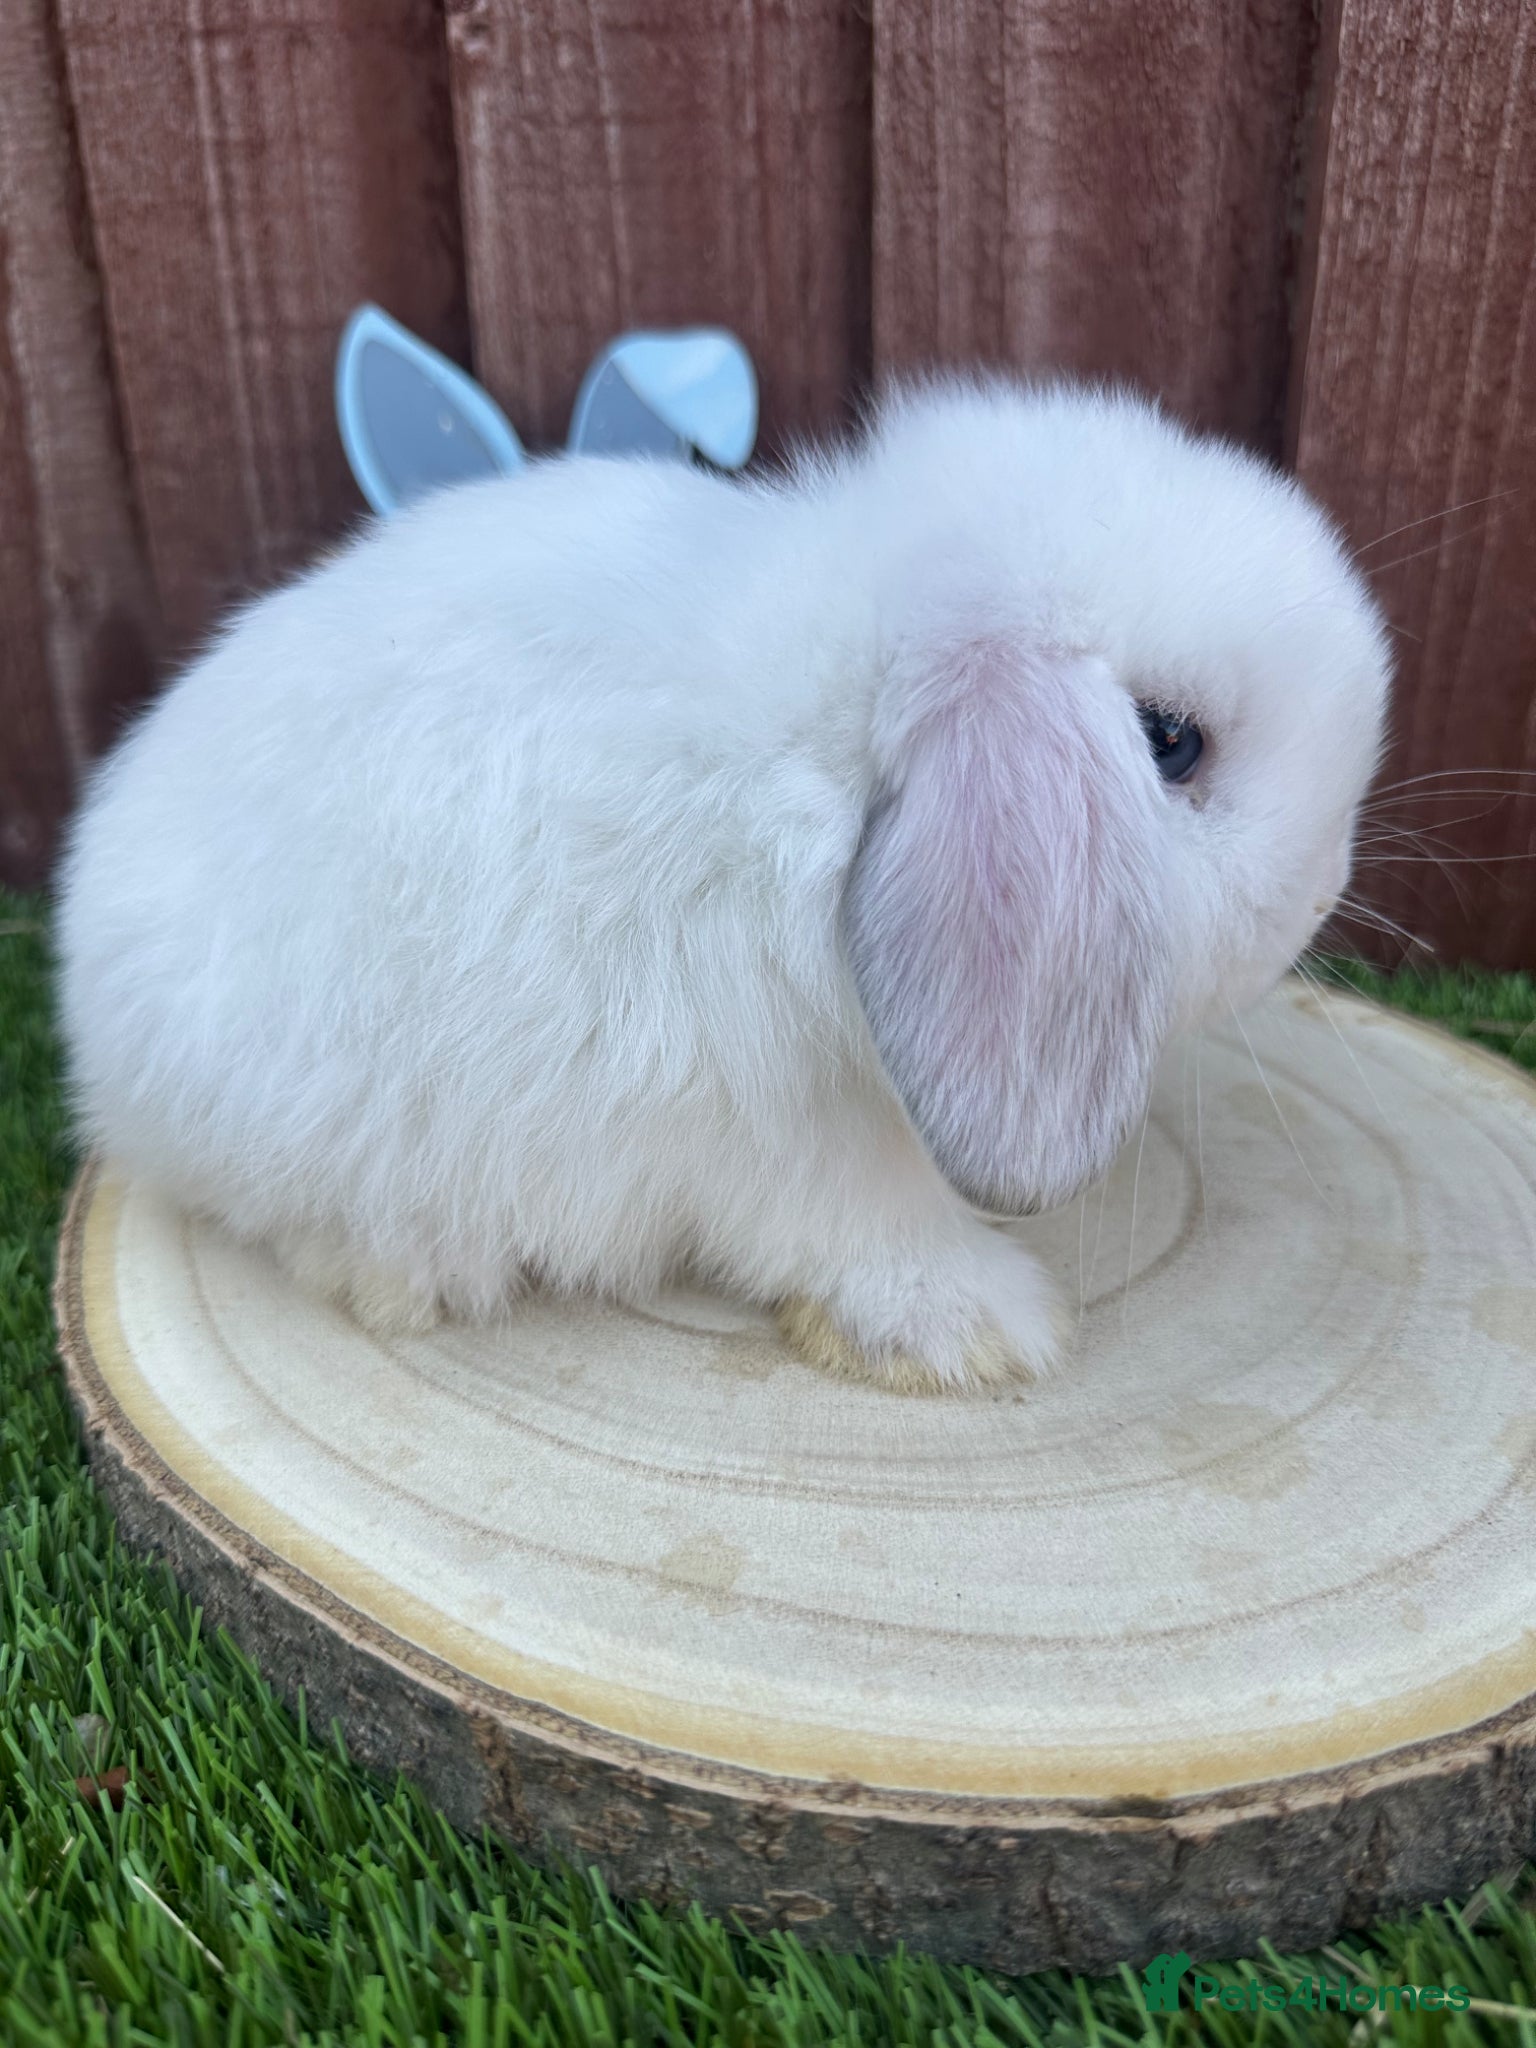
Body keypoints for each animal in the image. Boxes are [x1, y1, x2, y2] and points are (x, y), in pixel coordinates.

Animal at [56, 376, 1390, 1391]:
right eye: (1171, 742)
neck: (825, 758)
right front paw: (979, 1327)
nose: (1322, 893)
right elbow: (865, 1228)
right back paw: (414, 1272)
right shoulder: (783, 1124)